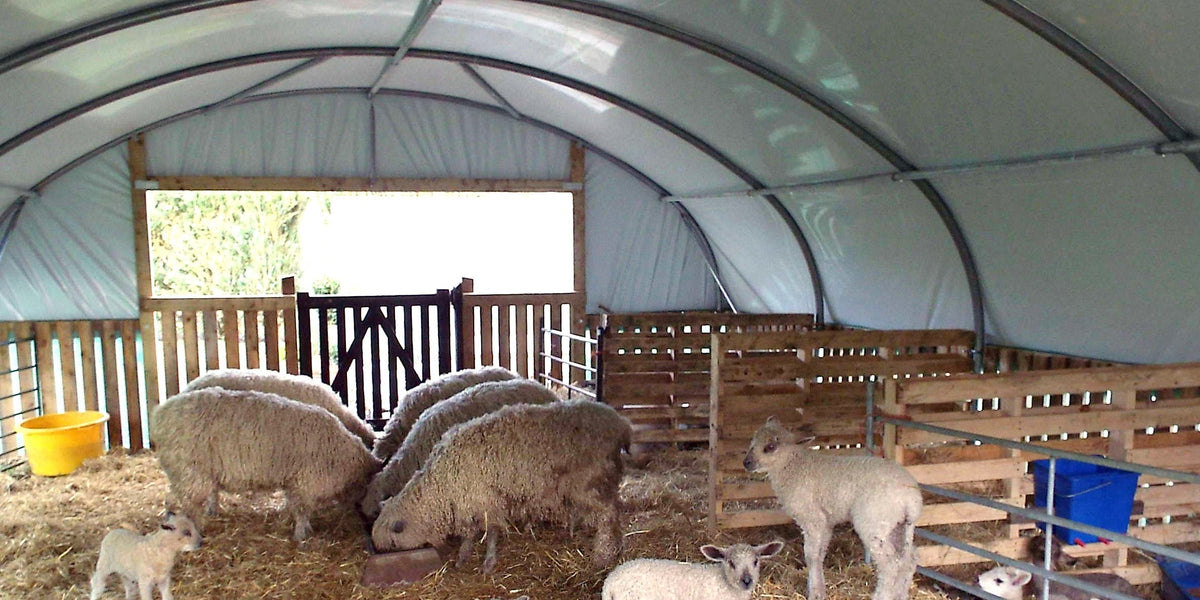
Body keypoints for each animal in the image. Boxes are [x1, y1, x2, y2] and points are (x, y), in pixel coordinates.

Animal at [150, 387, 383, 541]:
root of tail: (160, 415)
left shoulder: (295, 482)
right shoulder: (305, 482)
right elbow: (301, 511)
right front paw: (301, 536)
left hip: (191, 472)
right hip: (190, 471)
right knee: (190, 506)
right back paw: (196, 531)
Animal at [371, 399, 631, 573]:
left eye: (392, 545)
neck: (441, 484)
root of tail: (620, 424)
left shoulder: (487, 501)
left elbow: (492, 532)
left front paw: (488, 563)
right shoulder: (469, 502)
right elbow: (470, 533)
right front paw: (463, 557)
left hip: (591, 480)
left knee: (609, 514)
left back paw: (603, 555)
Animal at [743, 415, 922, 600]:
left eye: (770, 447)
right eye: (752, 441)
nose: (746, 463)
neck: (794, 466)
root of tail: (911, 498)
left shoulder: (813, 518)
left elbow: (811, 556)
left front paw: (814, 592)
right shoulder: (826, 522)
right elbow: (820, 554)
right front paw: (819, 590)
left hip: (875, 522)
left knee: (890, 564)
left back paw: (881, 595)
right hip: (899, 526)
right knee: (909, 560)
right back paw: (901, 594)